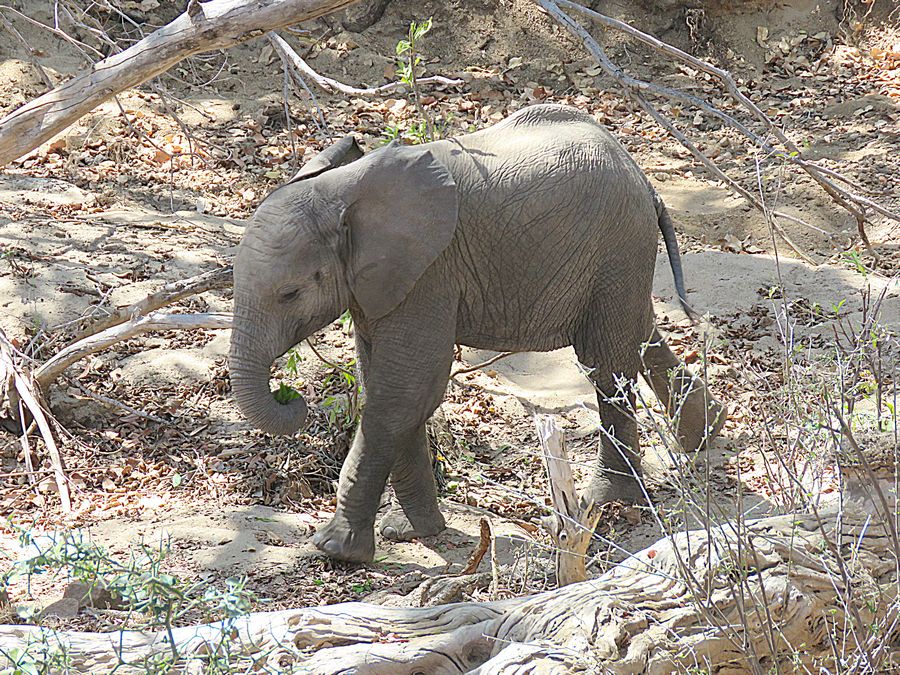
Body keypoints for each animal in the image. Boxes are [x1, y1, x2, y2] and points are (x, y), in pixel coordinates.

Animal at [229, 104, 726, 563]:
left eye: (290, 293)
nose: (292, 399)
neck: (340, 189)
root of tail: (642, 176)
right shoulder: (383, 283)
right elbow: (394, 389)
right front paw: (412, 531)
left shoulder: (430, 273)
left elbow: (403, 392)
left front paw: (336, 550)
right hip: (618, 253)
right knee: (637, 334)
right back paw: (707, 431)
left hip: (616, 244)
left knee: (606, 364)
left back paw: (605, 500)